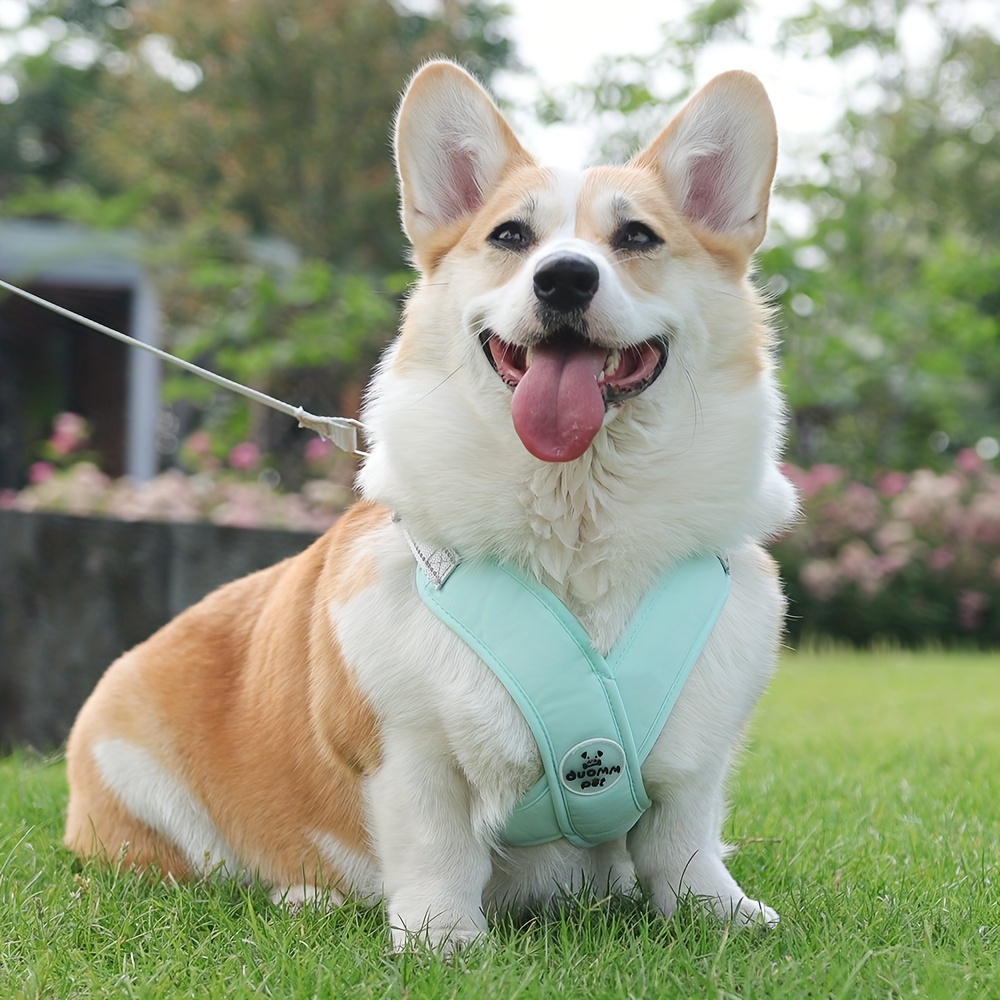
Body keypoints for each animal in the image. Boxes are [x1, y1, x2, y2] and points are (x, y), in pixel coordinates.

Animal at [64, 58, 796, 948]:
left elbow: (681, 840)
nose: (564, 276)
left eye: (637, 238)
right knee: (201, 869)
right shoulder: (410, 750)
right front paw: (443, 939)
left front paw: (718, 912)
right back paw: (303, 895)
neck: (577, 515)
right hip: (132, 769)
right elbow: (435, 844)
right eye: (511, 237)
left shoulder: (697, 757)